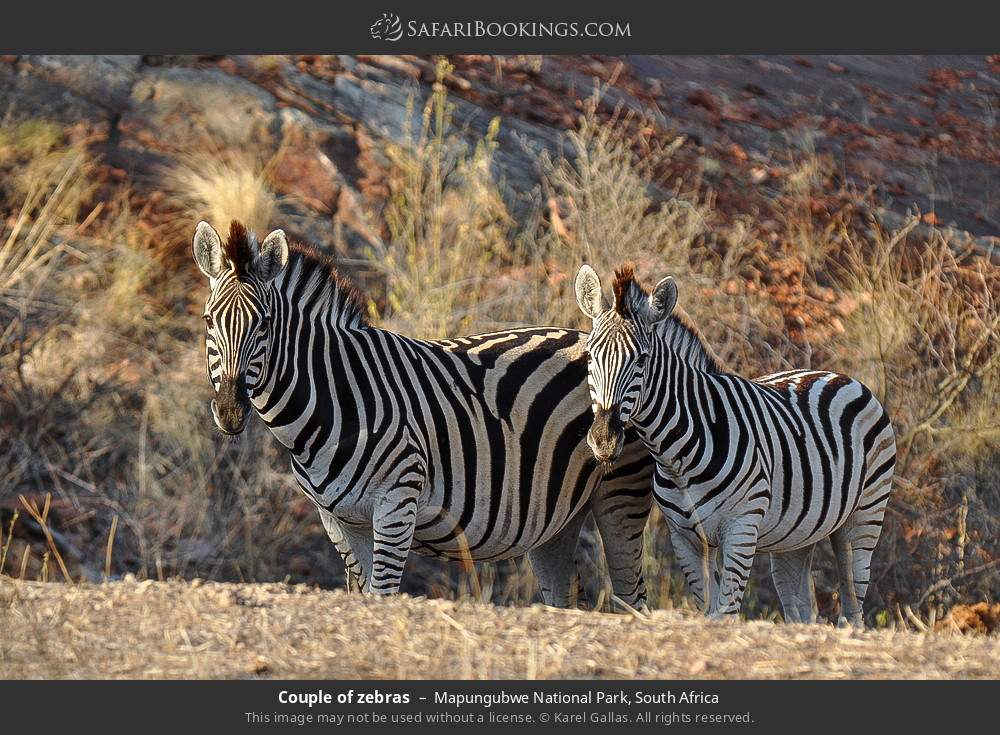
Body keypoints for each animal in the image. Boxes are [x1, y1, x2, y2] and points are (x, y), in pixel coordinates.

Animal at [192, 219, 655, 608]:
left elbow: (382, 595)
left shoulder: (397, 504)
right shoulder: (341, 521)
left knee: (633, 595)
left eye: (264, 324)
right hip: (559, 519)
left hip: (621, 492)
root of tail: (586, 334)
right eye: (209, 321)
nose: (230, 411)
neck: (334, 398)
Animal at [574, 263, 895, 625]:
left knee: (854, 603)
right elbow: (708, 609)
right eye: (590, 357)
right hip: (797, 535)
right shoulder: (685, 538)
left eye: (642, 360)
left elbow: (726, 612)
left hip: (865, 516)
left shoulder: (741, 530)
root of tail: (835, 374)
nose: (604, 440)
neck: (676, 455)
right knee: (800, 607)